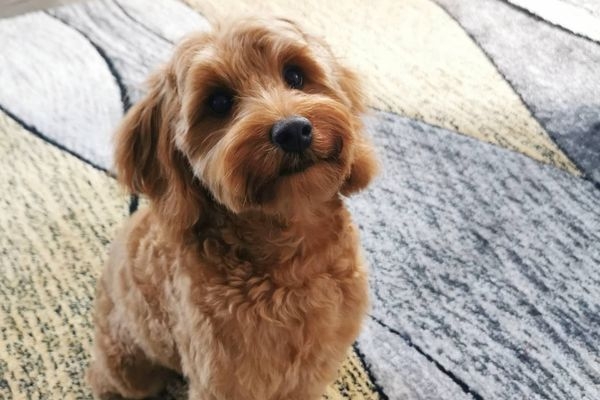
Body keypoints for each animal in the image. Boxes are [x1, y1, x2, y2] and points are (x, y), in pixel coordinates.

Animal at [86, 15, 378, 400]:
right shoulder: (224, 380)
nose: (293, 130)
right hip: (127, 366)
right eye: (219, 102)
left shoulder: (313, 368)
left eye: (295, 75)